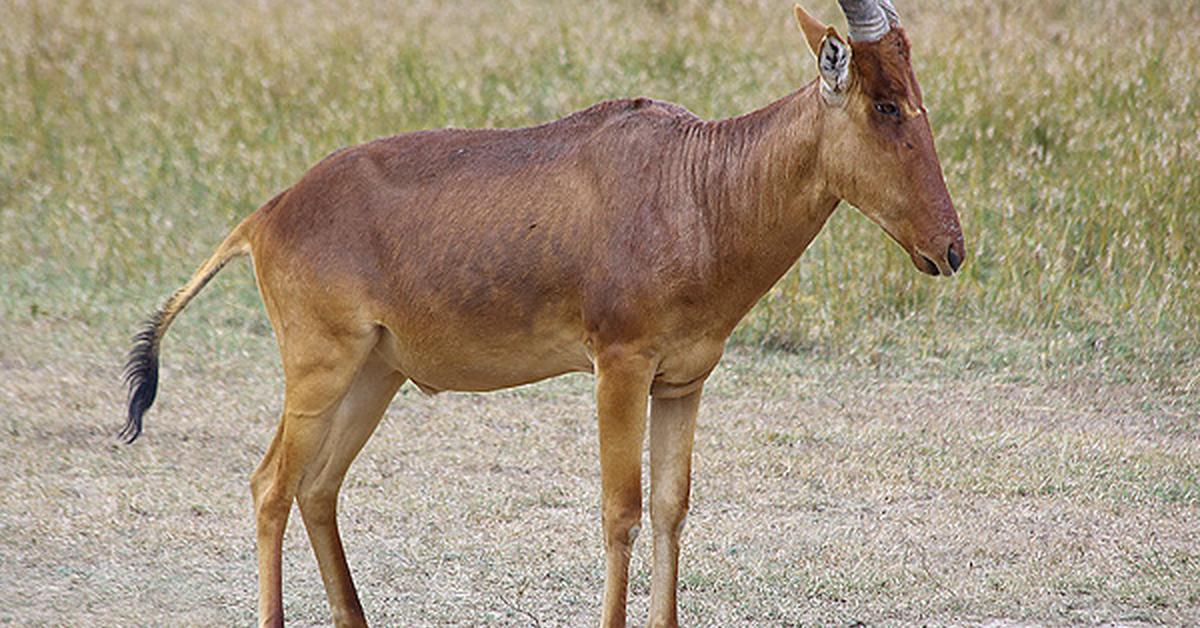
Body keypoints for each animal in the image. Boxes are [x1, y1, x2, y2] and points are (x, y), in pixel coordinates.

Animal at [121, 1, 964, 628]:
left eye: (918, 98)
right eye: (884, 104)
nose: (950, 249)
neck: (692, 179)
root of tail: (268, 214)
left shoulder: (683, 383)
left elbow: (671, 508)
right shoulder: (618, 368)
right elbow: (621, 511)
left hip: (374, 376)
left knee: (317, 487)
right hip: (319, 369)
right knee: (271, 484)